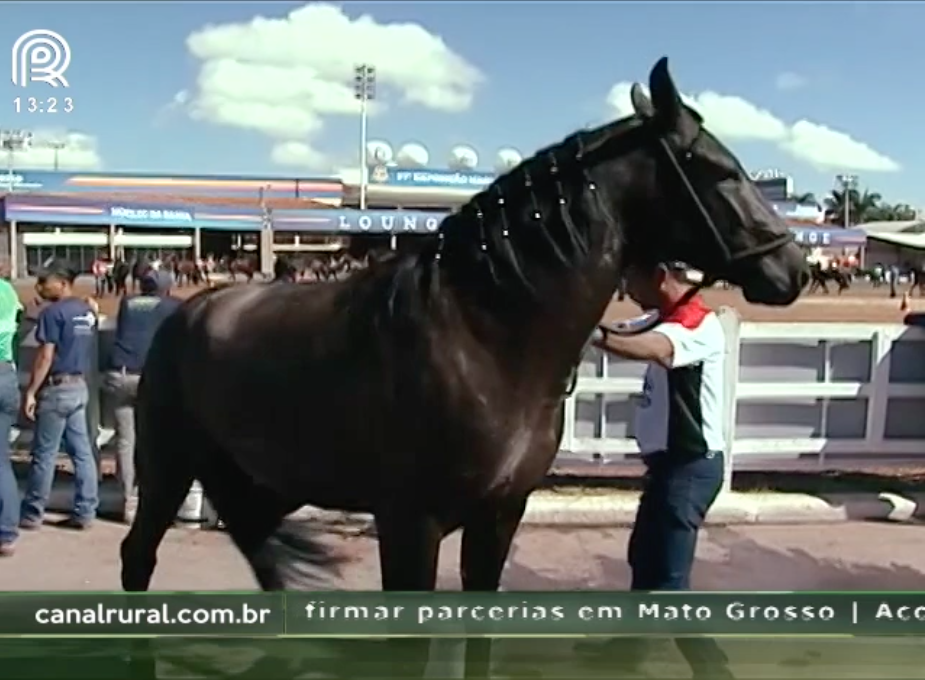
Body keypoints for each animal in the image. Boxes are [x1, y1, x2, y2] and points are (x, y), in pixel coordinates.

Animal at [124, 55, 808, 676]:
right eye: (717, 169)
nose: (794, 269)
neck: (481, 341)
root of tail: (189, 312)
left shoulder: (498, 516)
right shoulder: (410, 524)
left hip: (264, 479)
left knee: (260, 554)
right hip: (169, 468)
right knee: (139, 557)